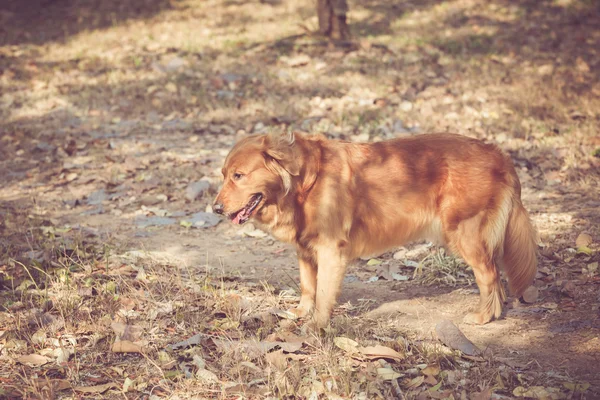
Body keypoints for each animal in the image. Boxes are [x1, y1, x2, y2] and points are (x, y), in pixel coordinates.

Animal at [212, 131, 540, 328]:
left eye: (239, 176)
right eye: (224, 175)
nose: (215, 209)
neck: (303, 183)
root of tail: (499, 154)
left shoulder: (330, 250)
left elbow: (323, 292)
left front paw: (317, 325)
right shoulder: (305, 249)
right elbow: (307, 286)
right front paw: (301, 312)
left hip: (465, 233)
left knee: (490, 276)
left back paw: (485, 315)